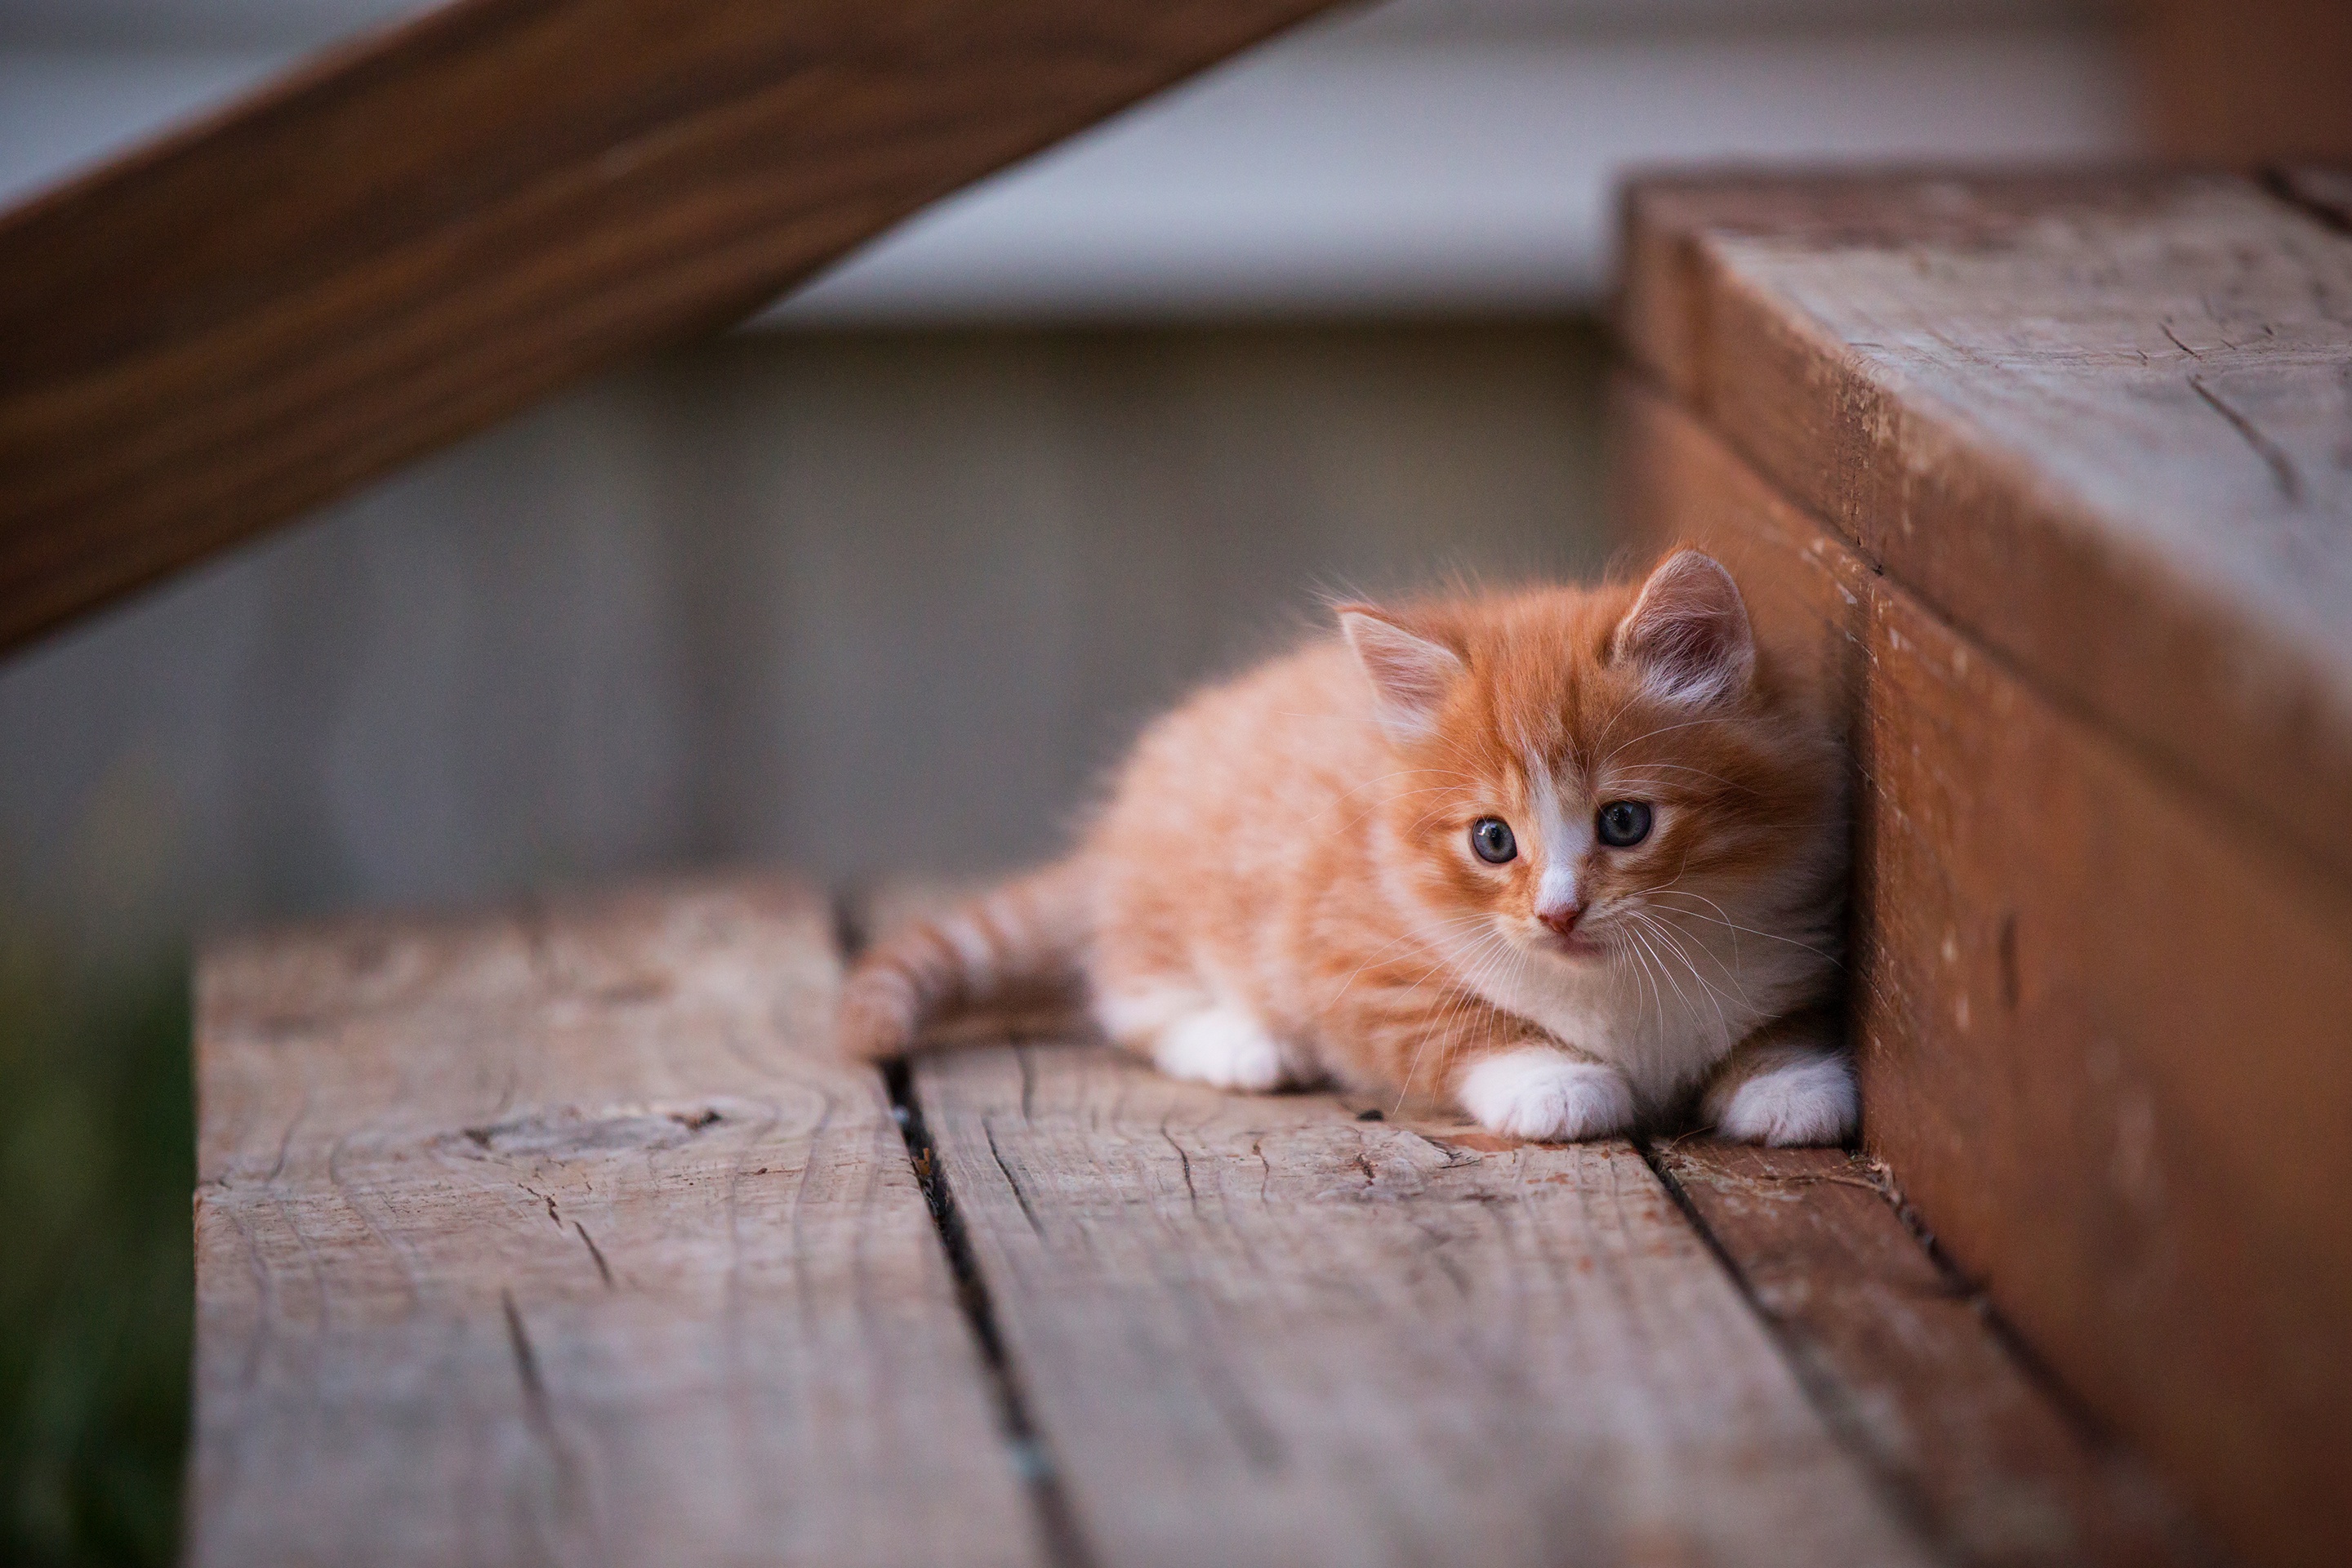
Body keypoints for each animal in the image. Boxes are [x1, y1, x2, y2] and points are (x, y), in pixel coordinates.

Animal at [846, 545, 1853, 1147]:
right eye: (1493, 840)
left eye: (1624, 822)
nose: (1558, 912)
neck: (1618, 986)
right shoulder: (1353, 954)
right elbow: (1458, 1024)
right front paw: (1557, 1081)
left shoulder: (1794, 918)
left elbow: (1784, 1016)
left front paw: (1792, 1079)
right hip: (1184, 891)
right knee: (1131, 991)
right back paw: (1240, 1042)